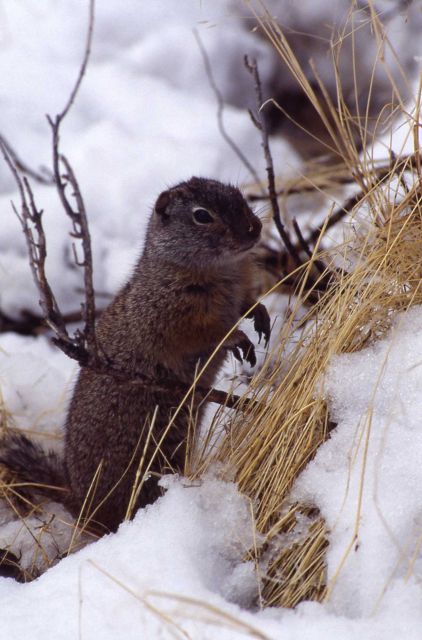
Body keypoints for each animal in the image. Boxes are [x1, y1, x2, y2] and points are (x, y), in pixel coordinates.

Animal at [0, 177, 270, 535]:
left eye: (240, 197)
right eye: (202, 215)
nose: (255, 228)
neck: (225, 271)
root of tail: (77, 500)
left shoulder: (238, 293)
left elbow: (247, 305)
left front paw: (261, 315)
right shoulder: (172, 315)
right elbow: (208, 332)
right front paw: (238, 337)